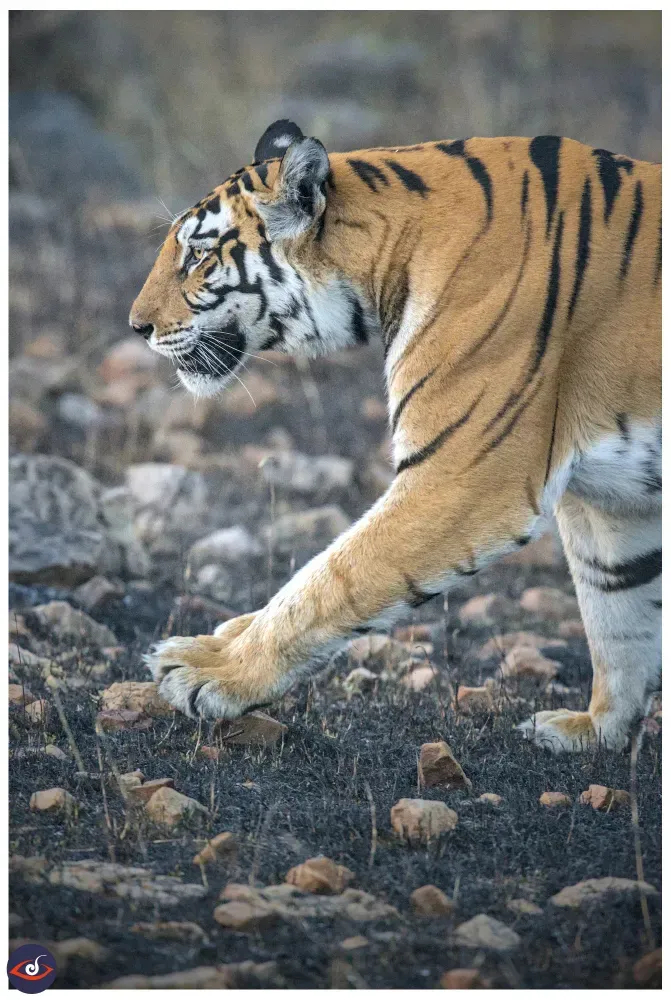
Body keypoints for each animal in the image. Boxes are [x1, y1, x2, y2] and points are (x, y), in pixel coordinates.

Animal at [130, 119, 661, 753]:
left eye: (199, 254)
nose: (135, 327)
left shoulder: (462, 477)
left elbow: (329, 578)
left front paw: (219, 672)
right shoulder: (611, 498)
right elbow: (616, 614)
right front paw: (598, 731)